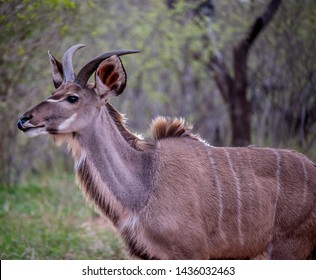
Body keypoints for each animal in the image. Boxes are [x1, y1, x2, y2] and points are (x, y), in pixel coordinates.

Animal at [17, 44, 316, 260]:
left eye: (72, 98)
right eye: (54, 91)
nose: (24, 120)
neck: (146, 179)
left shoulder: (192, 253)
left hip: (288, 250)